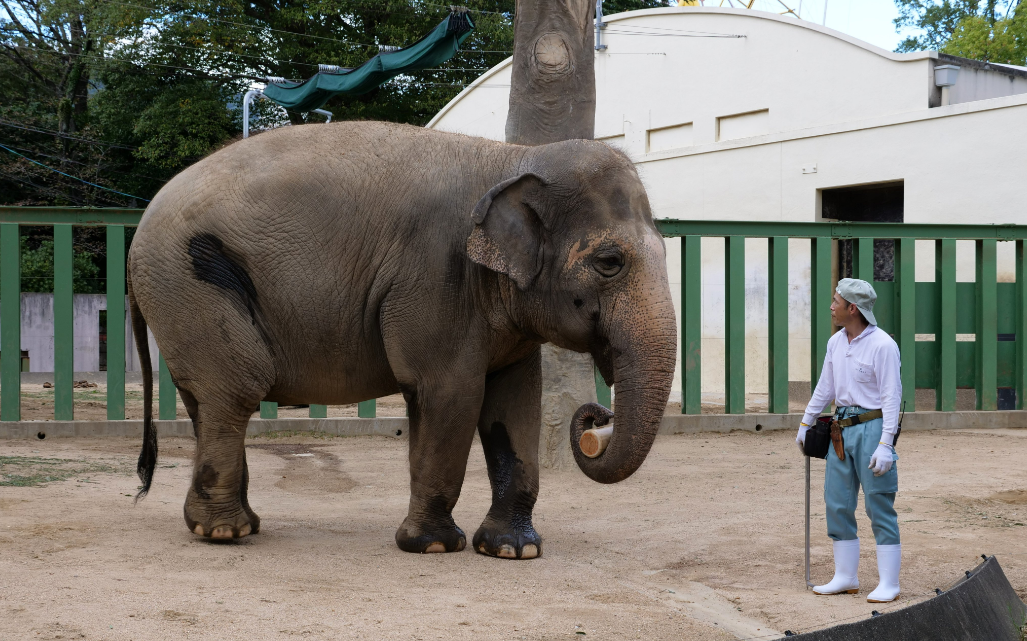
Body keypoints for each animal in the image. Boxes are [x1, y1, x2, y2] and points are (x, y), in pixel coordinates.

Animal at [130, 120, 673, 558]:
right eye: (609, 263)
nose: (594, 421)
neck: (513, 157)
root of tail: (140, 227)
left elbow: (516, 401)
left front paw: (513, 550)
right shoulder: (435, 277)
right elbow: (451, 393)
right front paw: (433, 546)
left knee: (206, 400)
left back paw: (232, 525)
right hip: (190, 284)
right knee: (237, 390)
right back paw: (226, 533)